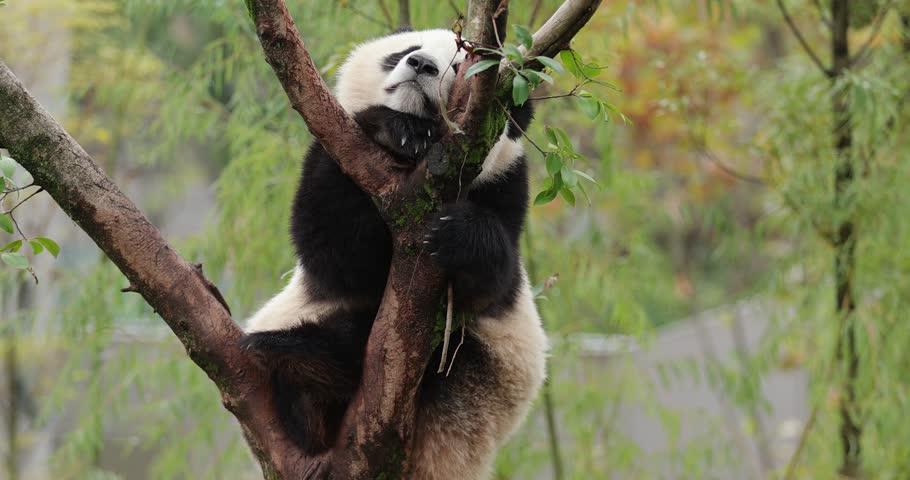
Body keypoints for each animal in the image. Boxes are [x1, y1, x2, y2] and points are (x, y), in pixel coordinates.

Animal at [241, 28, 547, 479]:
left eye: (460, 66)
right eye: (404, 52)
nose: (421, 65)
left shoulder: (504, 187)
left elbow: (491, 286)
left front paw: (458, 233)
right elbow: (337, 257)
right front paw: (393, 129)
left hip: (477, 382)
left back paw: (304, 356)